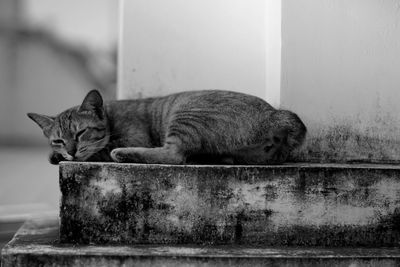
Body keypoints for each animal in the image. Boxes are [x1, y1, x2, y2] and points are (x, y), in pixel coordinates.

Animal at [26, 90, 306, 165]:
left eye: (81, 133)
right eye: (58, 140)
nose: (70, 151)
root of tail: (273, 113)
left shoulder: (134, 137)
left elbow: (98, 150)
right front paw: (56, 155)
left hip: (185, 114)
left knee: (174, 155)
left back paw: (124, 154)